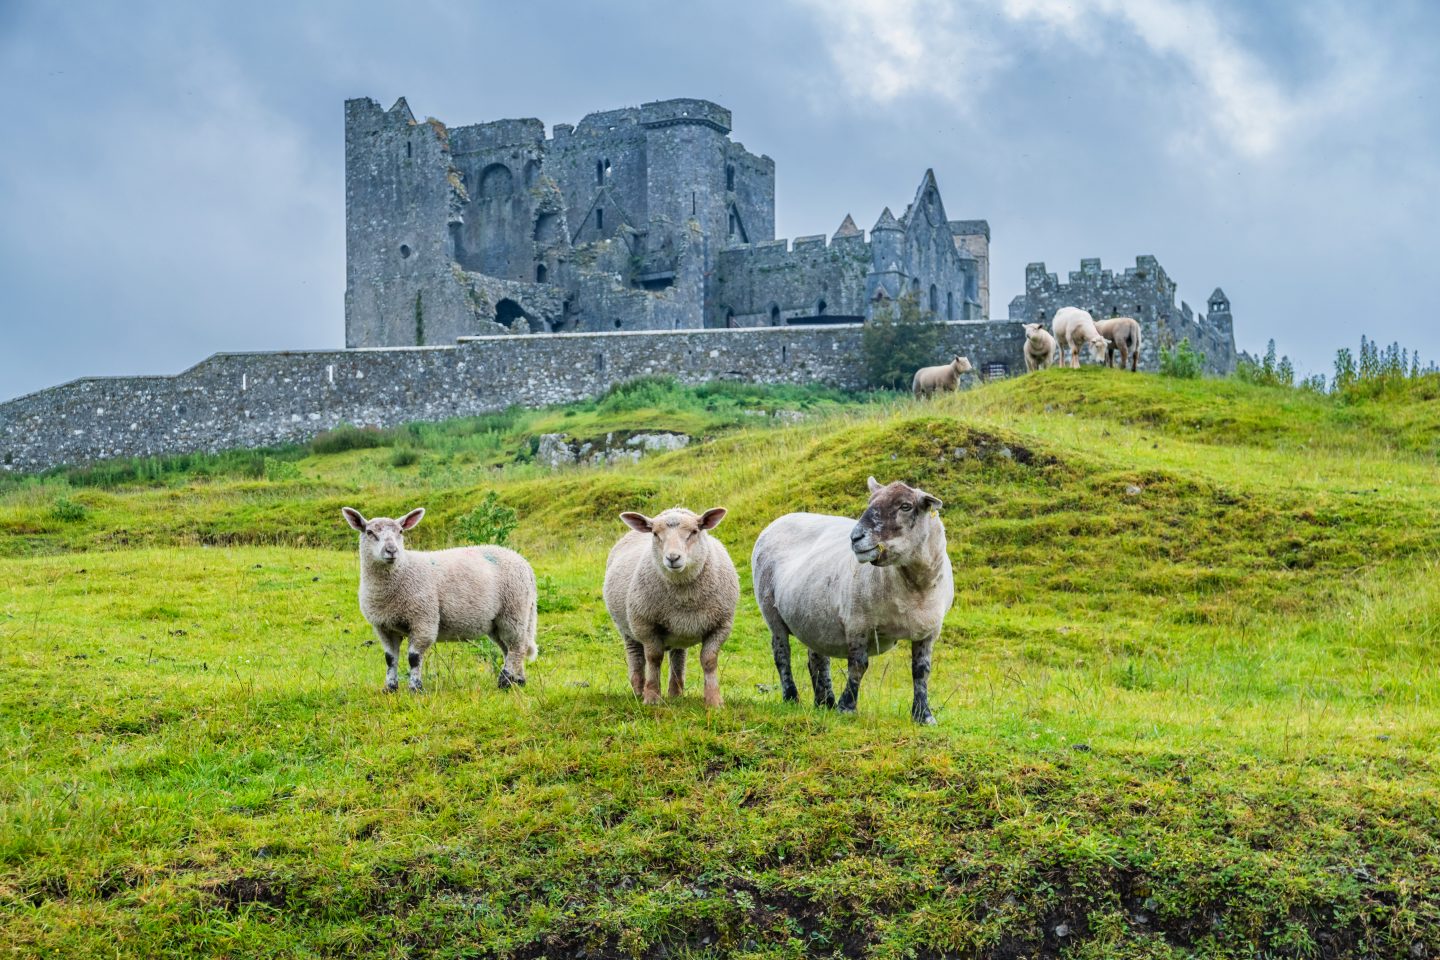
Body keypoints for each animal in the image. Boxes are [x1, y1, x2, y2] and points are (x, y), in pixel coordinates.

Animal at [341, 507, 538, 692]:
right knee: (509, 648)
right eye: (369, 532)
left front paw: (416, 688)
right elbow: (390, 659)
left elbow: (414, 657)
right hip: (498, 621)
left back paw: (505, 681)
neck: (403, 570)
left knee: (517, 646)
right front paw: (389, 688)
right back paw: (518, 681)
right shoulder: (384, 627)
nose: (391, 551)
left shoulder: (423, 620)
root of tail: (524, 563)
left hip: (514, 610)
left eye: (401, 531)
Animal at [603, 506, 739, 707]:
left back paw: (675, 694)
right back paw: (639, 691)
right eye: (655, 533)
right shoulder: (646, 625)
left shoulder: (721, 625)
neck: (685, 596)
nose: (673, 558)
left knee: (677, 657)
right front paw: (652, 698)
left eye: (694, 531)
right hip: (627, 627)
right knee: (636, 657)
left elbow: (709, 660)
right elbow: (654, 658)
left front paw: (714, 701)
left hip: (679, 631)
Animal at [752, 477, 954, 724]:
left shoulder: (930, 631)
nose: (855, 537)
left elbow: (921, 670)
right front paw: (847, 707)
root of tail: (781, 518)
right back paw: (792, 697)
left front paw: (923, 715)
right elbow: (858, 665)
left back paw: (824, 702)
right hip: (771, 611)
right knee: (782, 655)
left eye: (905, 506)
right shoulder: (858, 622)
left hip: (814, 616)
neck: (914, 588)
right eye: (870, 502)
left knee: (817, 659)